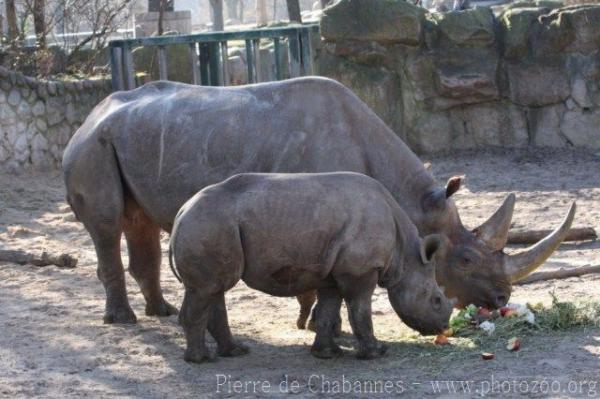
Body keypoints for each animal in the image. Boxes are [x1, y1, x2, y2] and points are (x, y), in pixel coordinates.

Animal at [171, 173, 452, 364]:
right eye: (436, 300)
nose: (443, 328)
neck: (404, 253)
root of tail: (181, 213)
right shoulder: (360, 270)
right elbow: (360, 309)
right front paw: (377, 353)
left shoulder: (333, 273)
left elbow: (329, 308)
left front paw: (326, 354)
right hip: (208, 224)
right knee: (208, 289)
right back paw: (202, 360)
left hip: (211, 225)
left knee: (213, 288)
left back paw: (234, 352)